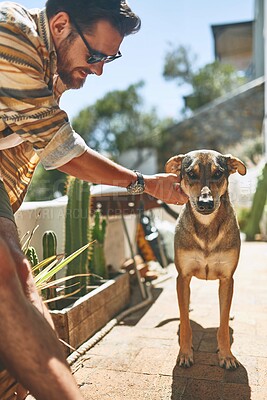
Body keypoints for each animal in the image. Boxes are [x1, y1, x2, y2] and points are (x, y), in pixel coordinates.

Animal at [166, 149, 248, 368]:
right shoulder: (183, 277)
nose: (205, 203)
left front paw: (226, 355)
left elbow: (223, 322)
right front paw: (185, 353)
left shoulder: (227, 279)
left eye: (218, 173)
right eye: (190, 174)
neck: (206, 227)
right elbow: (186, 322)